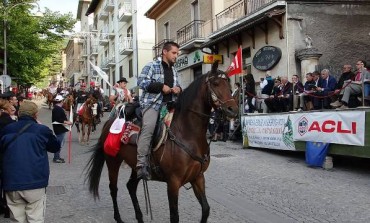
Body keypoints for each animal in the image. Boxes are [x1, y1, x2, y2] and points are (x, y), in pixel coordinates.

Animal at [85, 61, 238, 223]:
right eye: (215, 83)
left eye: (228, 84)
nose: (233, 110)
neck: (187, 134)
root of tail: (109, 122)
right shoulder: (173, 182)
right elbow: (174, 216)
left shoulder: (198, 177)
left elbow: (206, 209)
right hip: (113, 161)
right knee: (113, 189)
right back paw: (118, 218)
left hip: (135, 166)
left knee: (131, 186)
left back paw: (139, 217)